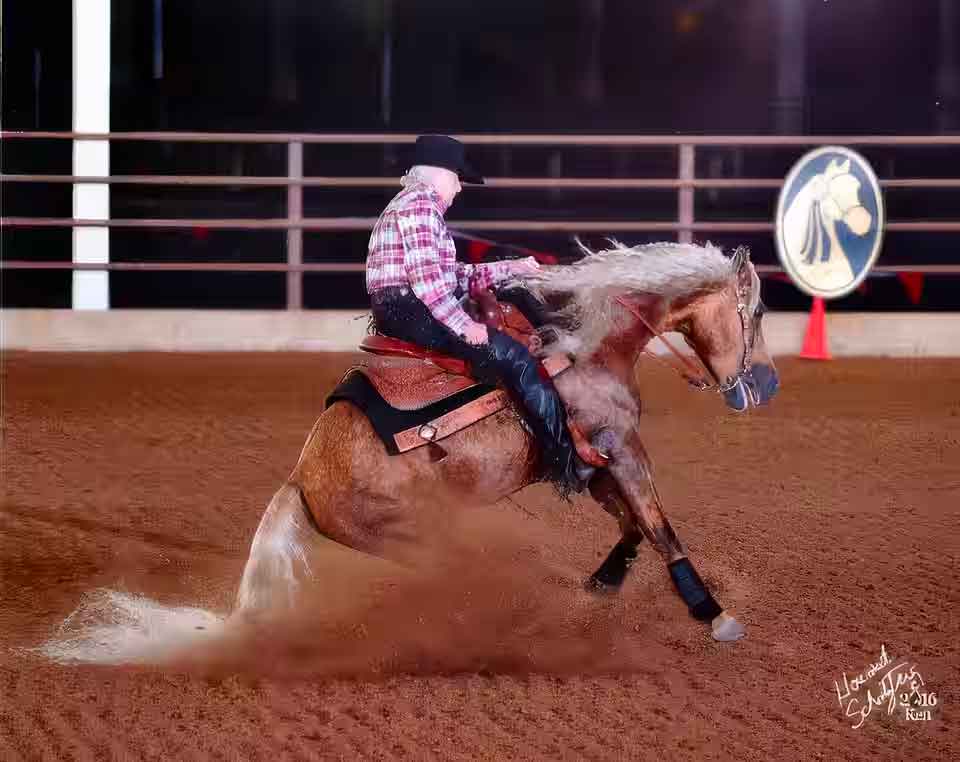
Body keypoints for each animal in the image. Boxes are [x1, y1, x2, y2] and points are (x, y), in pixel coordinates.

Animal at [234, 241, 779, 643]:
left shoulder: (595, 464)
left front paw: (602, 583)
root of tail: (301, 476)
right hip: (412, 533)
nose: (768, 384)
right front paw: (714, 614)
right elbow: (660, 529)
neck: (586, 344)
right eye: (757, 311)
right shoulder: (623, 448)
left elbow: (634, 527)